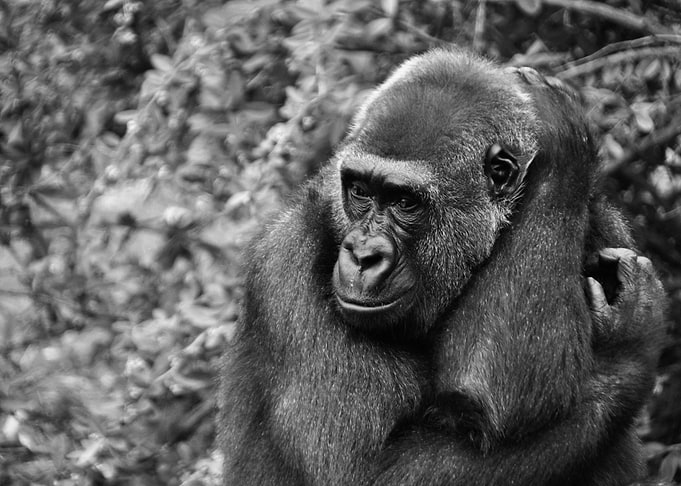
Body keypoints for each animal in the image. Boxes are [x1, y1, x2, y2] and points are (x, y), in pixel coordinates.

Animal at [218, 48, 666, 486]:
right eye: (359, 191)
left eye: (404, 201)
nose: (362, 255)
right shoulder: (284, 262)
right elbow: (367, 471)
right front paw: (626, 357)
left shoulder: (605, 228)